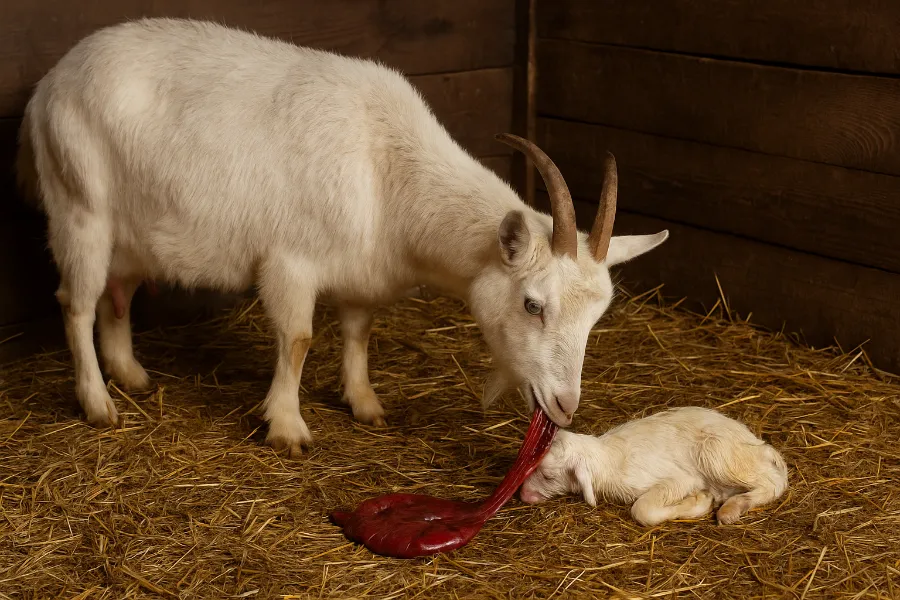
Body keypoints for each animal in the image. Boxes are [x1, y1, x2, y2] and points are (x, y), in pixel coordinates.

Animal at [17, 18, 669, 456]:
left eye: (597, 319)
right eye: (533, 305)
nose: (565, 406)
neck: (387, 167)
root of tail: (49, 83)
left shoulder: (363, 274)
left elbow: (358, 335)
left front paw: (365, 404)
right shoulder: (289, 262)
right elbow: (299, 339)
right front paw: (287, 427)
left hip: (132, 230)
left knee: (118, 294)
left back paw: (129, 374)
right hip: (80, 206)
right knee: (76, 303)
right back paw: (98, 402)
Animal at [519, 406, 788, 525]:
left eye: (548, 476)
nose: (523, 495)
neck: (607, 460)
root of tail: (757, 443)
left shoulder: (681, 479)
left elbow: (643, 510)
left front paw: (698, 501)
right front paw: (701, 499)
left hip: (717, 453)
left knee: (774, 483)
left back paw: (731, 509)